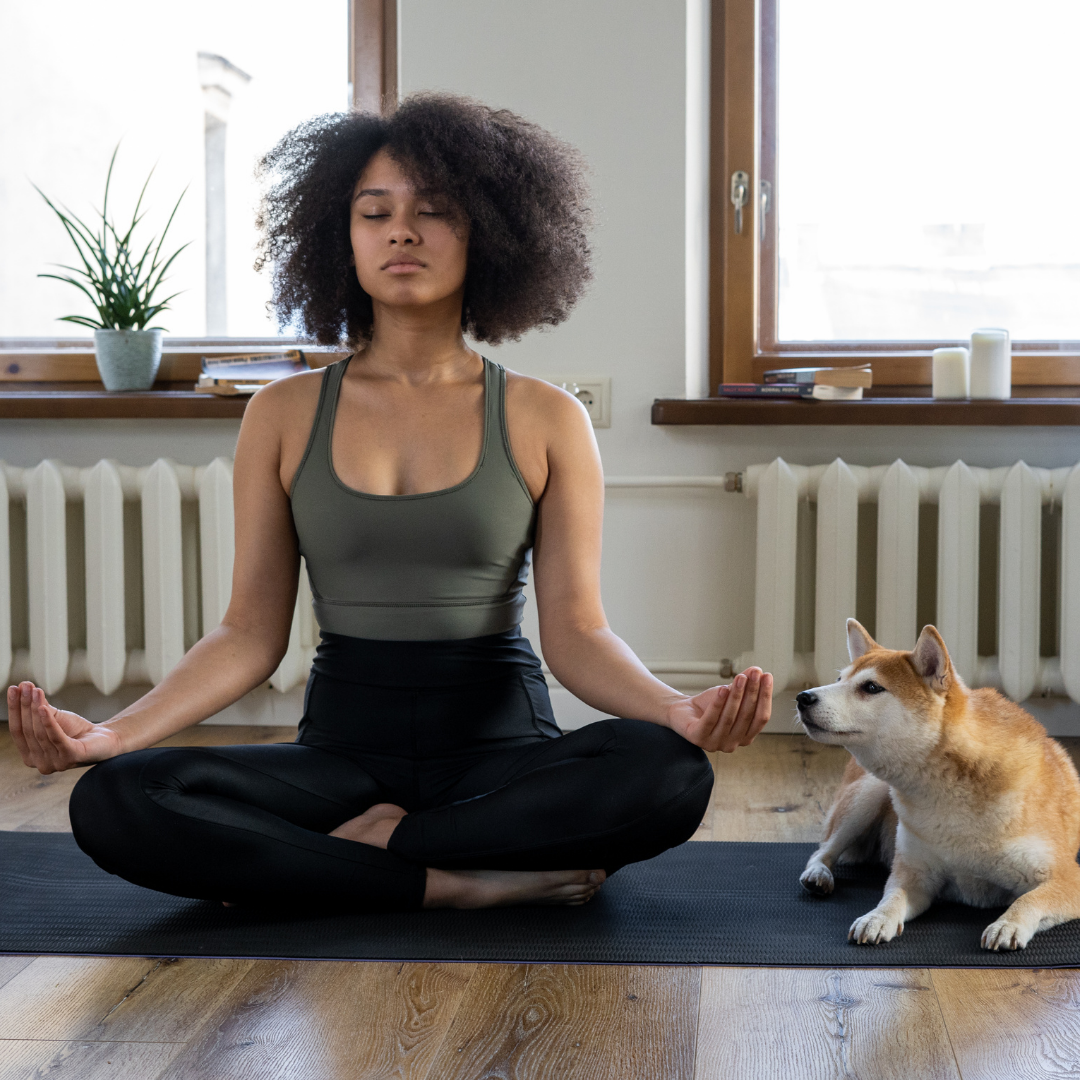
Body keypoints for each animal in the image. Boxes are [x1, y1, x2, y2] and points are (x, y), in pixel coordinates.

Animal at [794, 622, 1080, 950]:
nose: (803, 697)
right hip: (867, 796)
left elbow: (1028, 900)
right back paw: (818, 874)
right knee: (822, 850)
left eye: (871, 687)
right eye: (839, 679)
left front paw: (1008, 924)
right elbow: (891, 898)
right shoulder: (915, 875)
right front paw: (876, 918)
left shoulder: (1066, 878)